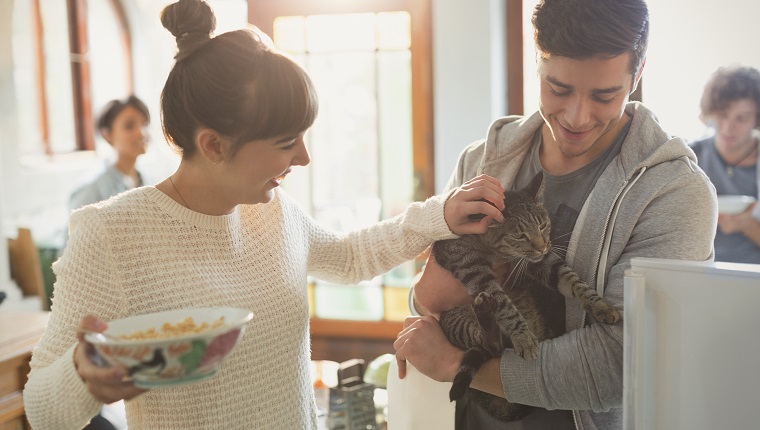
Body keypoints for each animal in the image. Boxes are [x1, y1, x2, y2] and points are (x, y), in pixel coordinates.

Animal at [430, 170, 620, 420]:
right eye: (520, 236)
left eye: (543, 226)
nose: (542, 246)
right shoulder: (472, 267)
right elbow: (504, 304)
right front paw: (523, 336)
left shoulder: (542, 262)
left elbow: (572, 279)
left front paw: (599, 305)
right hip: (455, 319)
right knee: (491, 346)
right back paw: (489, 314)